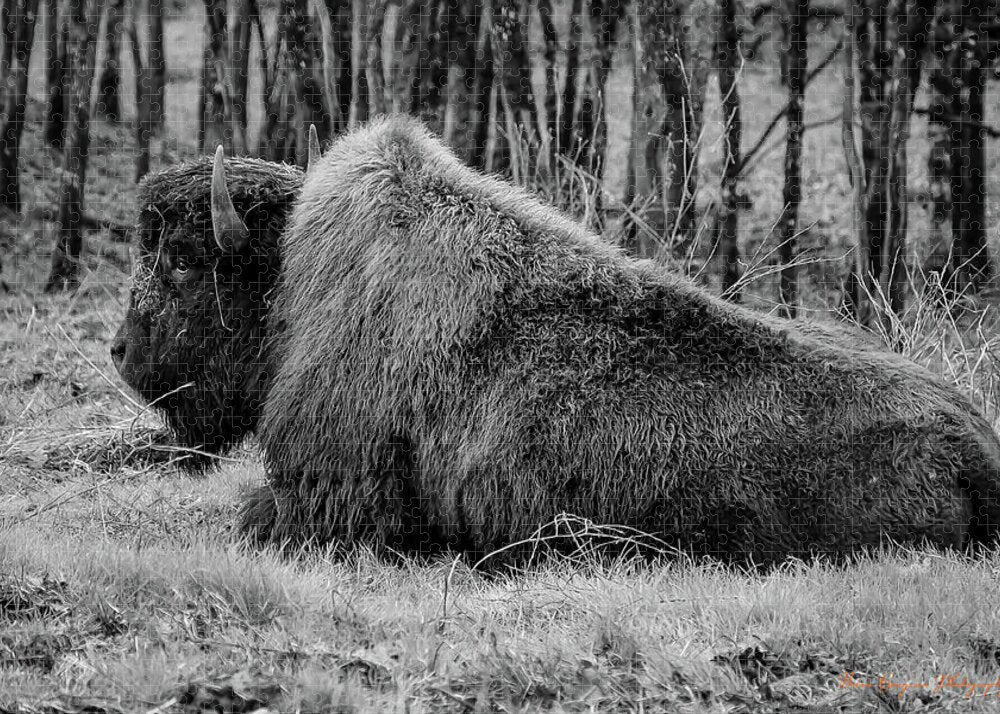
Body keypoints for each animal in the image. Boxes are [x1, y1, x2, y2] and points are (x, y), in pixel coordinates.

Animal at [113, 115, 1000, 564]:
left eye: (183, 259)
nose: (120, 353)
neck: (292, 282)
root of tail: (976, 441)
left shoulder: (328, 494)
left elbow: (257, 514)